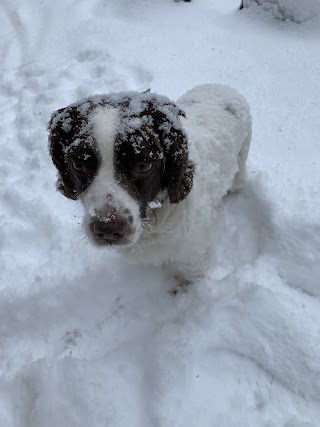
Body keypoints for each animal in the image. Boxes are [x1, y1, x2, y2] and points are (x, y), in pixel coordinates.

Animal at [48, 84, 251, 284]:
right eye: (78, 164)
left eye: (144, 165)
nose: (108, 229)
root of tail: (223, 87)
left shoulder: (195, 253)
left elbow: (189, 275)